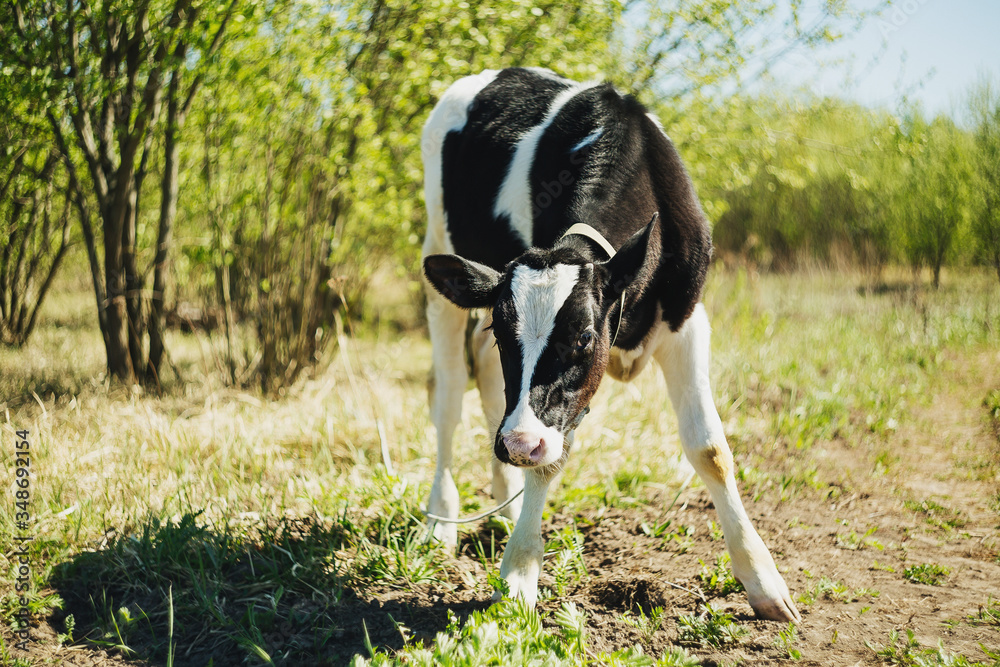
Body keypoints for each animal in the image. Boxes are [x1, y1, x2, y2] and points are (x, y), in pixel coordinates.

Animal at [420, 65, 796, 624]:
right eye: (504, 332)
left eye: (583, 337)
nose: (518, 444)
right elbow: (552, 456)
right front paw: (518, 576)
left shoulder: (688, 323)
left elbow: (709, 448)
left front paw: (763, 580)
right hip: (439, 261)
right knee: (447, 400)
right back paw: (442, 520)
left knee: (486, 383)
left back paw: (506, 499)